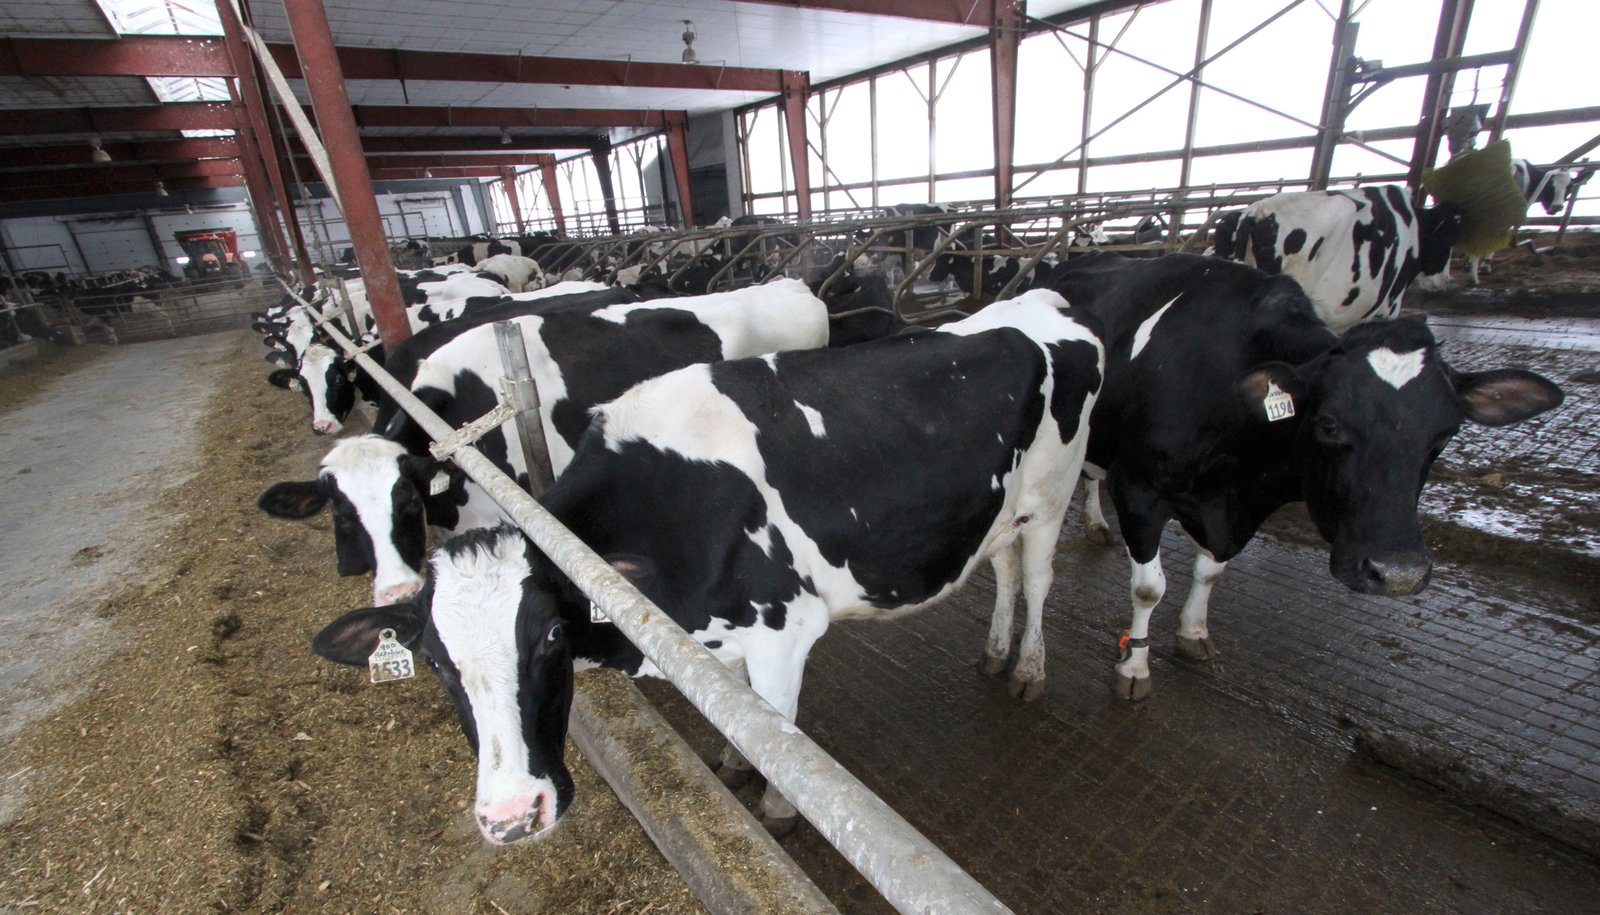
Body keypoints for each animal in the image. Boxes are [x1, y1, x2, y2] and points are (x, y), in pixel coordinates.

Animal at [302, 291, 1100, 844]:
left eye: (551, 638)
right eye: (438, 662)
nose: (510, 816)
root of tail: (1038, 305)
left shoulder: (786, 629)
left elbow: (779, 730)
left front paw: (776, 805)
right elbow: (741, 713)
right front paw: (733, 761)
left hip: (1054, 494)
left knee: (1037, 577)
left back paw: (1028, 669)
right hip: (1002, 509)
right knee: (1003, 566)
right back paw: (994, 652)